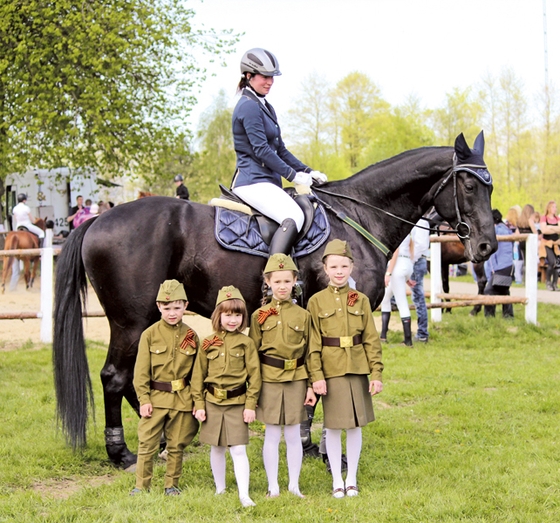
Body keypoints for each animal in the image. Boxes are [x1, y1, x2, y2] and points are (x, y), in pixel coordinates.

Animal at [52, 133, 496, 468]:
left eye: (488, 186)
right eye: (470, 185)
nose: (487, 246)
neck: (359, 216)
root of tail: (99, 219)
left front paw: (307, 442)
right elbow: (322, 381)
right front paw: (319, 447)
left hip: (146, 319)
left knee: (133, 379)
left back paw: (158, 439)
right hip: (130, 319)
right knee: (115, 376)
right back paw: (122, 452)